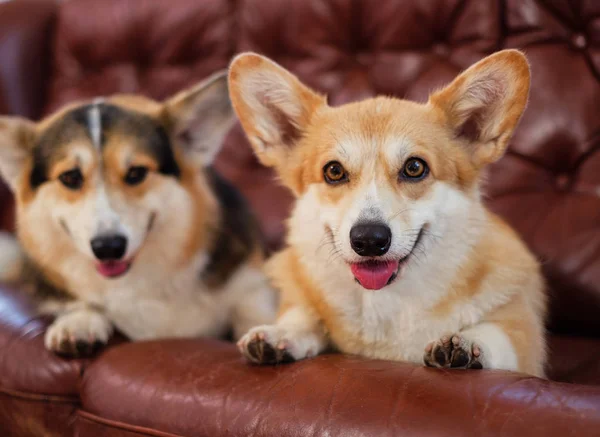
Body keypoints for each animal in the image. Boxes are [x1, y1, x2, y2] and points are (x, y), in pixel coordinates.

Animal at [0, 71, 276, 356]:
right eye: (70, 177)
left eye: (136, 173)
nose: (108, 247)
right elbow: (80, 302)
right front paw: (78, 324)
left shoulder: (251, 282)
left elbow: (254, 306)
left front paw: (269, 333)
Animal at [230, 50, 548, 374]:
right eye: (334, 171)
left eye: (415, 167)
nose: (369, 240)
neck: (384, 301)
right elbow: (304, 317)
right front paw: (279, 334)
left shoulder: (521, 340)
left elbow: (497, 335)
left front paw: (467, 343)